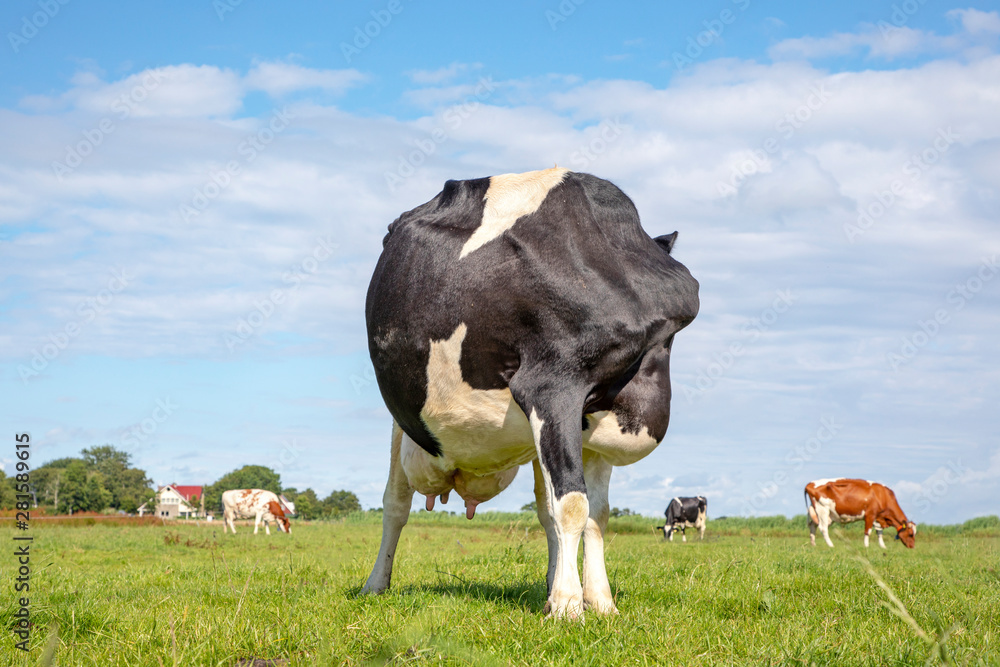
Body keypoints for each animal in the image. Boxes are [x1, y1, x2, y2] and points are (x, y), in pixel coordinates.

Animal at [360, 167, 700, 619]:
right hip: (403, 422)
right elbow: (572, 505)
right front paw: (569, 605)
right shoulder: (552, 387)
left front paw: (599, 601)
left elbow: (595, 514)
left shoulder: (591, 426)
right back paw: (375, 585)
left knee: (545, 511)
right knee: (394, 506)